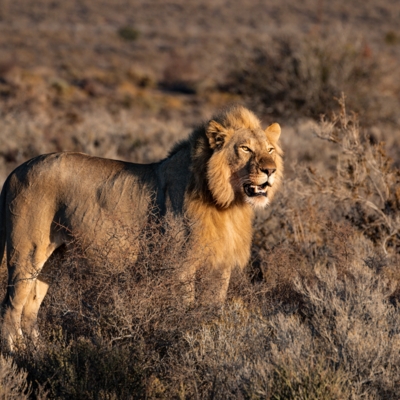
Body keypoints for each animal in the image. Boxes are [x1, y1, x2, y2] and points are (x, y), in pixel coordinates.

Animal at [0, 106, 282, 350]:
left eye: (270, 149)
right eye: (245, 148)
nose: (270, 170)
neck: (227, 204)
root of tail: (14, 171)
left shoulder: (220, 267)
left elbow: (211, 311)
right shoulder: (180, 266)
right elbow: (184, 310)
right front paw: (186, 342)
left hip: (53, 258)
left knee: (30, 307)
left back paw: (38, 351)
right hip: (27, 252)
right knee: (10, 306)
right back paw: (16, 355)